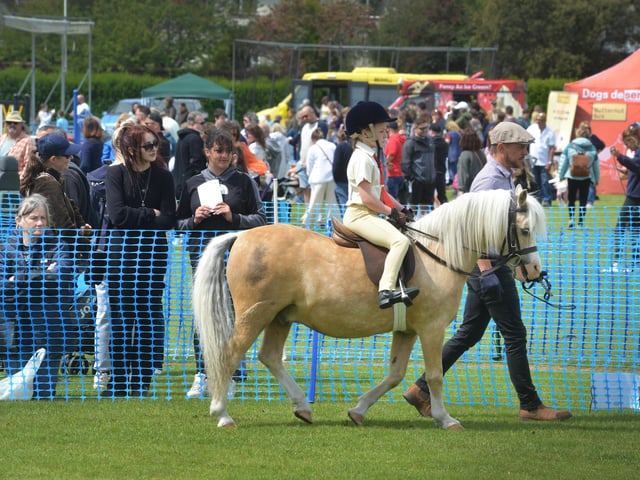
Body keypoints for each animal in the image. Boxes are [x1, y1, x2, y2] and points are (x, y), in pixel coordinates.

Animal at [193, 186, 546, 429]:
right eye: (525, 229)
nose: (534, 271)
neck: (439, 252)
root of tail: (241, 236)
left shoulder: (407, 331)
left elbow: (395, 374)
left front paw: (358, 410)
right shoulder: (431, 329)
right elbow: (434, 375)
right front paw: (445, 419)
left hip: (280, 317)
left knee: (269, 356)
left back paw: (302, 406)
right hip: (255, 314)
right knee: (229, 355)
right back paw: (222, 414)